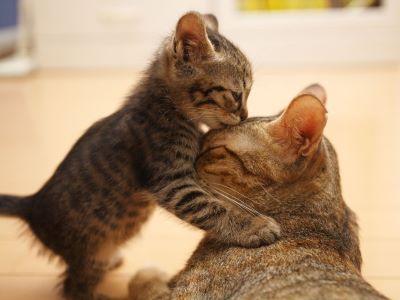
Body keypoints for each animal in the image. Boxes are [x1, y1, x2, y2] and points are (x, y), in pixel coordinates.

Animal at [0, 11, 280, 300]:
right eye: (236, 94)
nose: (245, 115)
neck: (168, 108)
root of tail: (32, 205)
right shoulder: (171, 181)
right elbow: (211, 207)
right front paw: (253, 227)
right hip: (92, 250)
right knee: (72, 287)